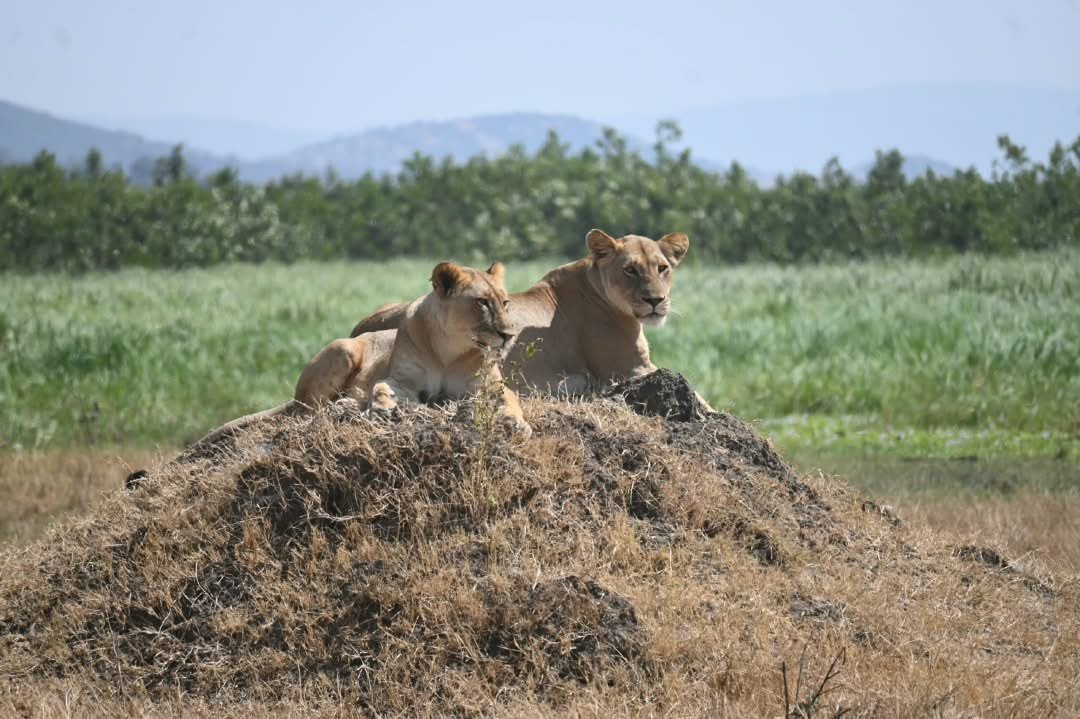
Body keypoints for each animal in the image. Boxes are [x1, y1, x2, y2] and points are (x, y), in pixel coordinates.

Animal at [191, 260, 528, 450]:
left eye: (505, 302)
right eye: (482, 302)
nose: (509, 334)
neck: (450, 351)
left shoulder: (488, 386)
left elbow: (511, 399)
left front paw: (516, 424)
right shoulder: (403, 378)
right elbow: (381, 386)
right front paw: (382, 408)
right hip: (344, 350)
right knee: (306, 412)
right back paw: (345, 405)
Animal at [350, 229, 695, 398]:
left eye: (662, 268)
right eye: (630, 270)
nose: (656, 300)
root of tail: (358, 327)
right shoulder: (631, 370)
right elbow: (703, 401)